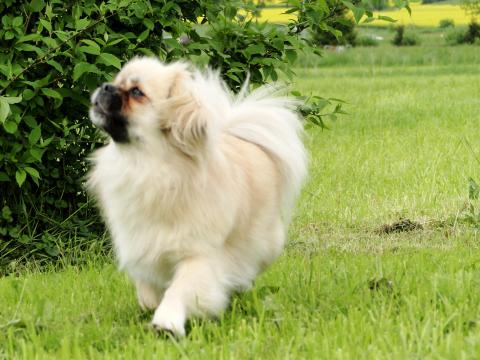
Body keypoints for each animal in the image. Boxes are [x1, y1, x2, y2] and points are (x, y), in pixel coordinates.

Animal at [87, 57, 306, 336]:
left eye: (136, 92)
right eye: (116, 81)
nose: (105, 86)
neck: (148, 166)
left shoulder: (200, 255)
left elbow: (181, 289)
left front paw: (166, 322)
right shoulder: (141, 245)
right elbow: (146, 288)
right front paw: (150, 305)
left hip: (263, 242)